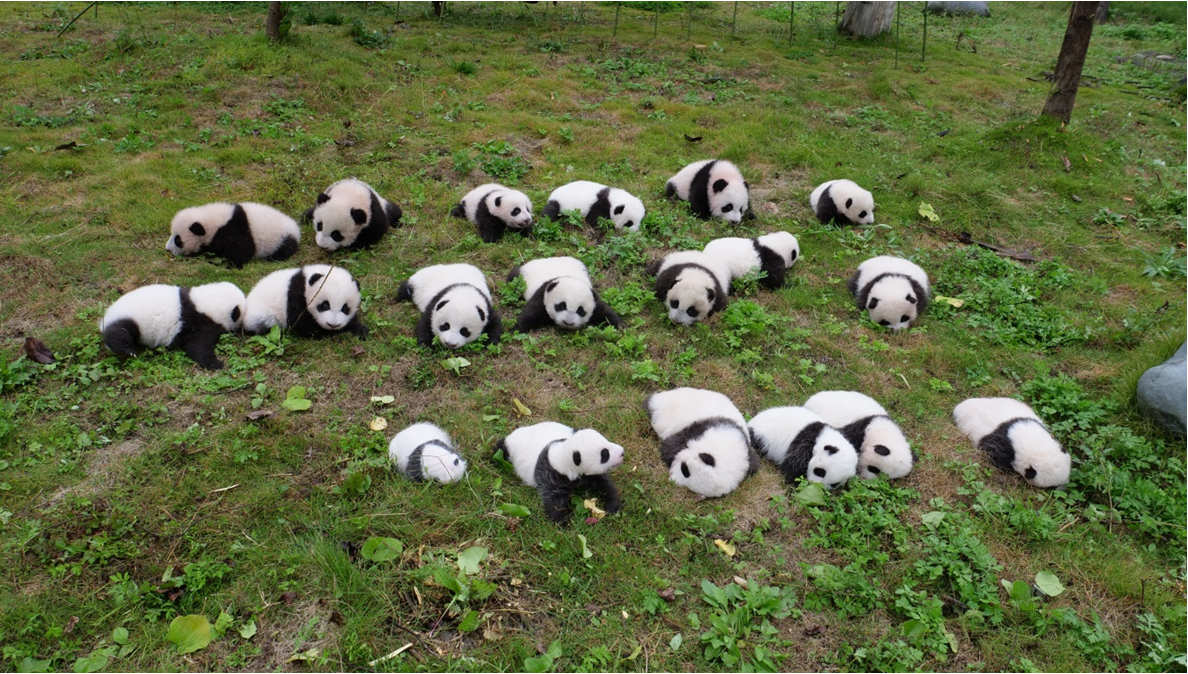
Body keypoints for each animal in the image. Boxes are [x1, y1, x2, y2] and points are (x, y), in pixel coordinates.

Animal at [99, 282, 245, 370]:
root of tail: (105, 319)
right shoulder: (197, 323)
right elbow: (198, 347)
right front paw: (216, 363)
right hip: (129, 320)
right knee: (119, 335)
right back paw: (130, 351)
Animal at [166, 202, 300, 268]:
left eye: (178, 240)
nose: (167, 249)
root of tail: (296, 228)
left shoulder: (234, 231)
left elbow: (241, 252)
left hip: (282, 239)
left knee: (283, 251)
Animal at [495, 421, 624, 524]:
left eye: (607, 441)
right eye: (605, 454)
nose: (622, 452)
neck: (562, 454)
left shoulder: (589, 475)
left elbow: (604, 485)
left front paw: (612, 506)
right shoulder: (549, 473)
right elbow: (553, 498)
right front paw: (563, 521)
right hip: (508, 450)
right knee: (499, 450)